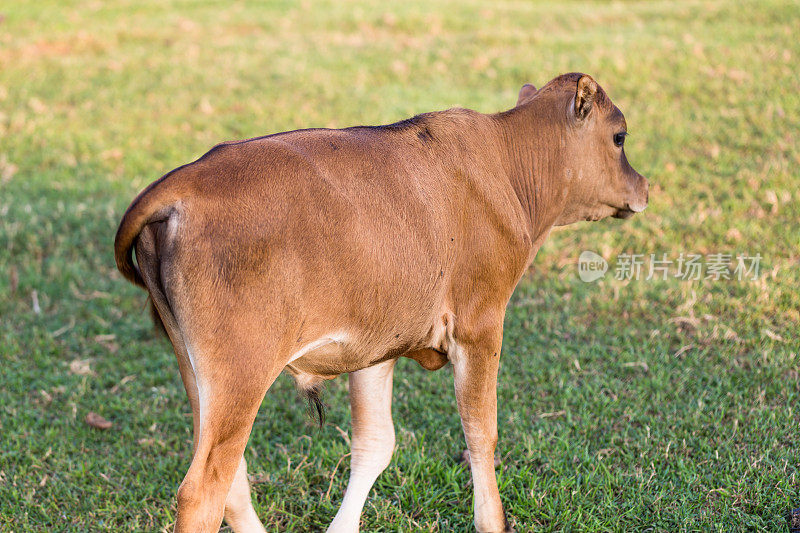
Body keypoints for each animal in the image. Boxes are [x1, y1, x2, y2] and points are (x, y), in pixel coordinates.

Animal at [114, 72, 648, 528]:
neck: (507, 162)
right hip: (241, 371)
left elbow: (375, 443)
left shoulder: (377, 343)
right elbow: (481, 433)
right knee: (204, 488)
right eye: (620, 136)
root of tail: (185, 180)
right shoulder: (480, 323)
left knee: (233, 476)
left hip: (196, 368)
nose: (643, 186)